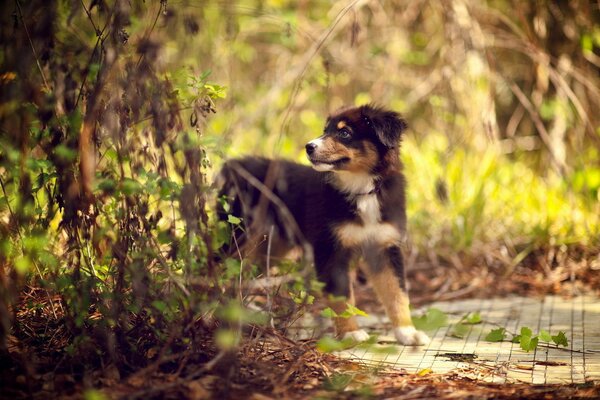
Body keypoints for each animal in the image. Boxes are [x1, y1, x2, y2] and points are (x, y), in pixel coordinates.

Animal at [218, 104, 428, 346]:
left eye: (344, 133)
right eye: (325, 130)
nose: (309, 147)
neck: (362, 188)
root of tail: (233, 166)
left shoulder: (385, 246)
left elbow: (397, 292)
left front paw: (407, 332)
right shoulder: (331, 248)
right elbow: (342, 294)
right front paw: (350, 333)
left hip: (272, 245)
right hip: (238, 236)